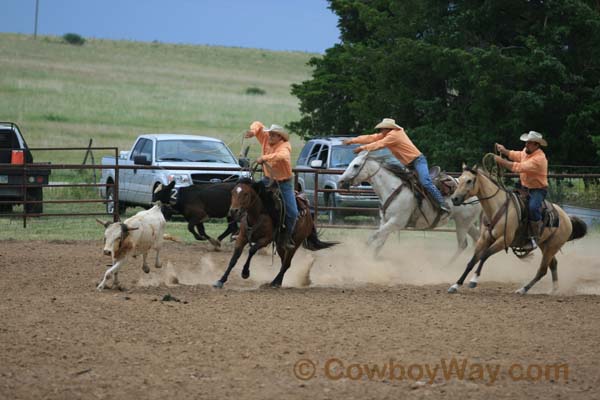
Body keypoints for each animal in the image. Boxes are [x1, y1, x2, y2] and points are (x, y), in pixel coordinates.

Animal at [340, 151, 480, 260]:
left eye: (356, 165)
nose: (341, 181)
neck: (392, 188)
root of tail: (475, 193)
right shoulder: (385, 221)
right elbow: (379, 243)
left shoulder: (396, 222)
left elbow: (372, 237)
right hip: (467, 223)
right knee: (477, 239)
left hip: (462, 223)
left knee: (462, 245)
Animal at [450, 164, 584, 296]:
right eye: (460, 179)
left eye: (469, 180)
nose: (454, 199)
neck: (498, 207)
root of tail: (567, 218)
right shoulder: (484, 239)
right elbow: (472, 262)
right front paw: (456, 285)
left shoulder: (503, 240)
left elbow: (484, 256)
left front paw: (473, 281)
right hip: (544, 244)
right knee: (553, 264)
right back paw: (553, 289)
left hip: (552, 247)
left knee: (542, 270)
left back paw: (523, 289)